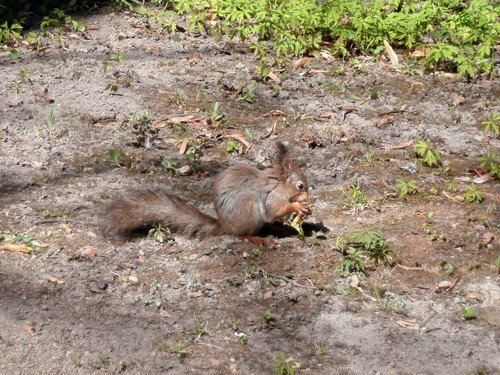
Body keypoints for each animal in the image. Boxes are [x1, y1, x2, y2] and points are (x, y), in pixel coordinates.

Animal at [103, 142, 310, 245]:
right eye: (300, 186)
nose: (308, 197)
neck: (280, 183)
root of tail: (225, 226)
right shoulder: (273, 196)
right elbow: (275, 210)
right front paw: (298, 206)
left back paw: (279, 229)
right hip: (249, 209)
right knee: (243, 234)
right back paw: (259, 239)